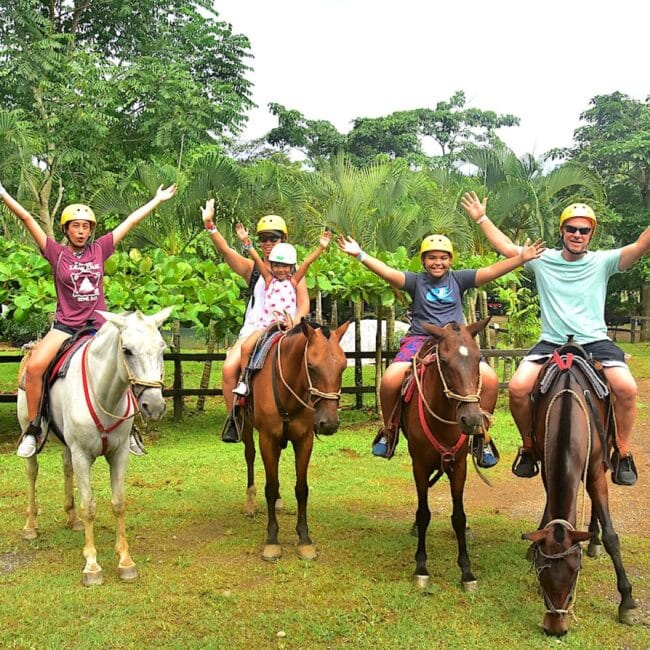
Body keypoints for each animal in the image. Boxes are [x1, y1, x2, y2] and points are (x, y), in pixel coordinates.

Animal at [18, 306, 171, 584]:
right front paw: (92, 565)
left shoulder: (119, 454)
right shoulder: (82, 455)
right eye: (127, 350)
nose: (154, 406)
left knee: (66, 468)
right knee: (32, 472)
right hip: (31, 431)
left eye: (161, 348)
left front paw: (125, 561)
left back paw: (72, 519)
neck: (105, 394)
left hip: (67, 445)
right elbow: (89, 506)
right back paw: (30, 526)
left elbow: (118, 503)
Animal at [238, 316, 350, 560]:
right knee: (250, 456)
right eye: (311, 366)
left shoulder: (304, 440)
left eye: (343, 366)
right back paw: (249, 504)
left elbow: (302, 489)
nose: (329, 423)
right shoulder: (267, 439)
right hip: (247, 427)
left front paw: (305, 540)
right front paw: (272, 541)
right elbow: (270, 488)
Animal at [400, 316, 492, 588]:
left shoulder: (459, 467)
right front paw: (421, 567)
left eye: (478, 358)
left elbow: (458, 517)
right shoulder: (419, 466)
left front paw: (467, 571)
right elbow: (423, 513)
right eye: (444, 361)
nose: (471, 420)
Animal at [520, 342, 636, 636]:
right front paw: (534, 548)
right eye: (543, 573)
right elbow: (549, 510)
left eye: (574, 572)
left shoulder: (595, 470)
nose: (555, 628)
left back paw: (593, 540)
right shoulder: (548, 468)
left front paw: (627, 602)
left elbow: (612, 536)